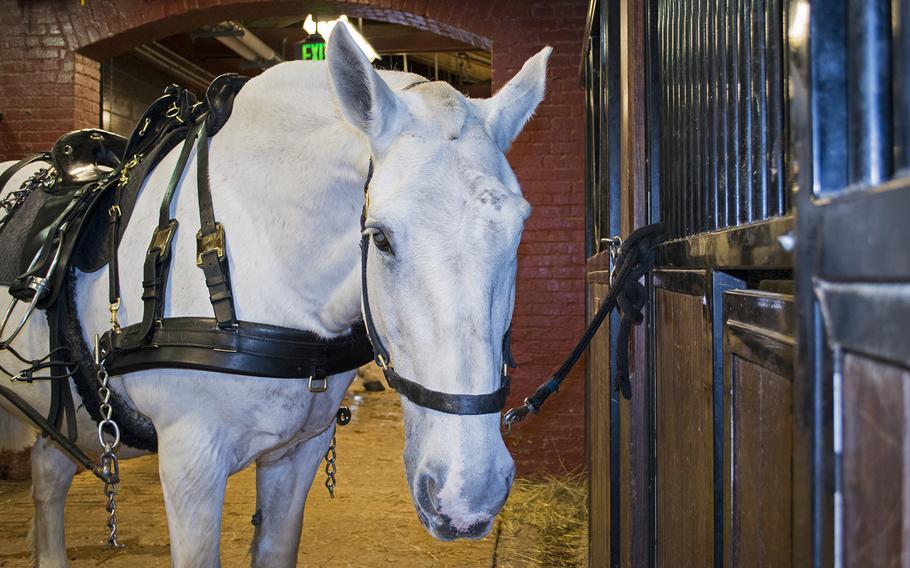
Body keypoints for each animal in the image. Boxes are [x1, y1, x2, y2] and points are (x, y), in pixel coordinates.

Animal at [0, 24, 548, 564]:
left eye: (520, 228)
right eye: (381, 238)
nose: (467, 495)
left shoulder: (297, 454)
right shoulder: (190, 461)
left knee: (48, 477)